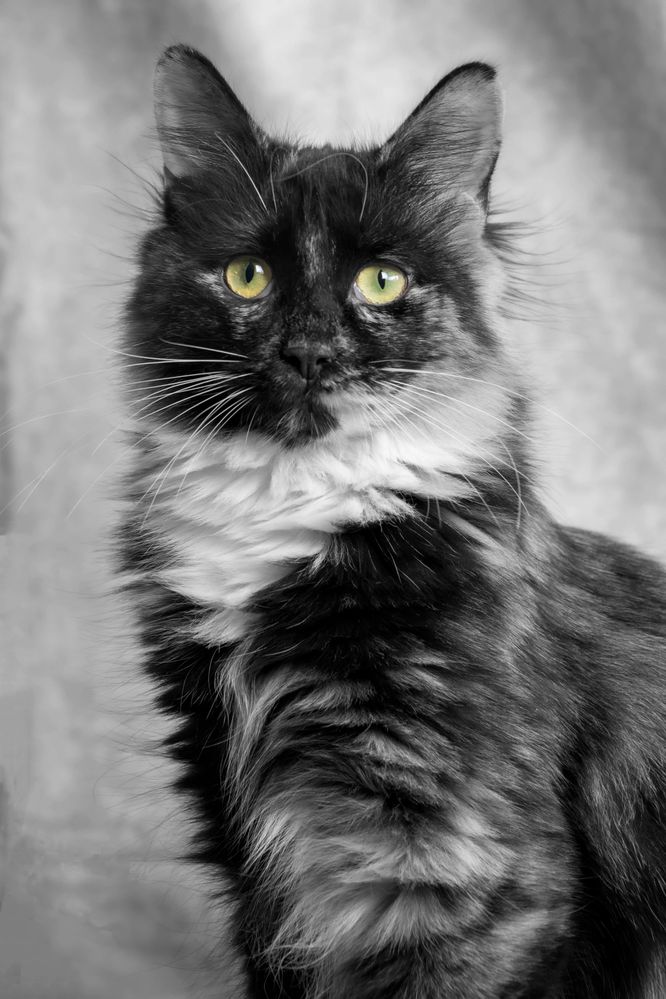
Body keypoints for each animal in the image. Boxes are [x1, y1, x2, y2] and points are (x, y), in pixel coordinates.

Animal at [118, 43, 664, 996]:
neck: (291, 519)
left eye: (382, 281)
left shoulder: (464, 873)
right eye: (249, 275)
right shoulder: (255, 859)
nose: (309, 351)